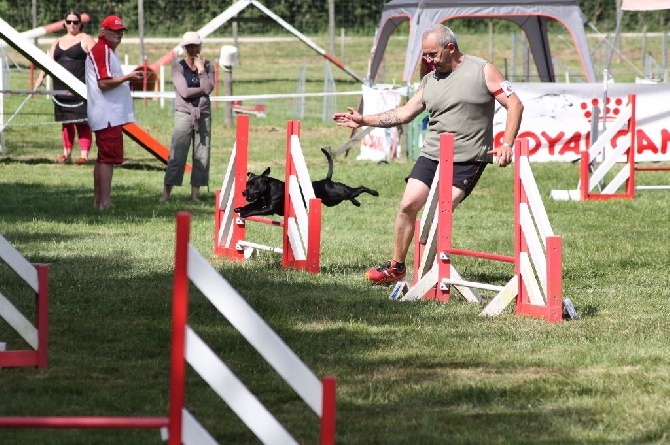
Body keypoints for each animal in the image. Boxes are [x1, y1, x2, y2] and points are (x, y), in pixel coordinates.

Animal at [234, 147, 378, 219]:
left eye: (253, 185)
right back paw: (356, 202)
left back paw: (375, 192)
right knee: (353, 195)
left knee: (360, 188)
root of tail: (327, 180)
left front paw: (244, 213)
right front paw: (239, 208)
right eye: (247, 184)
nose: (243, 192)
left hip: (343, 192)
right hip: (334, 201)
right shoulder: (259, 202)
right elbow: (250, 205)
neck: (269, 189)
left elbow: (255, 210)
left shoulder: (269, 209)